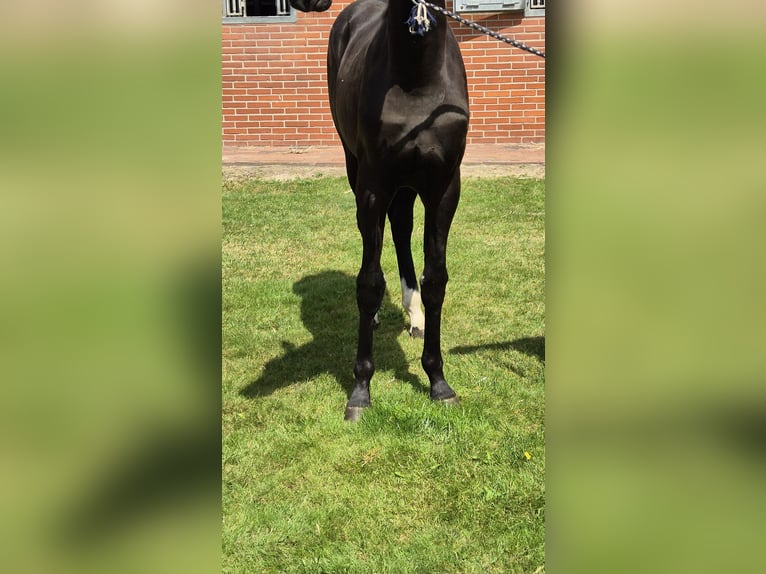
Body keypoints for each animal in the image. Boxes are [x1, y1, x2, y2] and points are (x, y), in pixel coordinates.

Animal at [290, 0, 472, 424]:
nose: (306, 2)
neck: (418, 78)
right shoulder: (374, 187)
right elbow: (369, 283)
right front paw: (360, 390)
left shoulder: (444, 188)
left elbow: (436, 278)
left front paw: (438, 382)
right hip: (357, 169)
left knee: (402, 228)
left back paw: (415, 316)